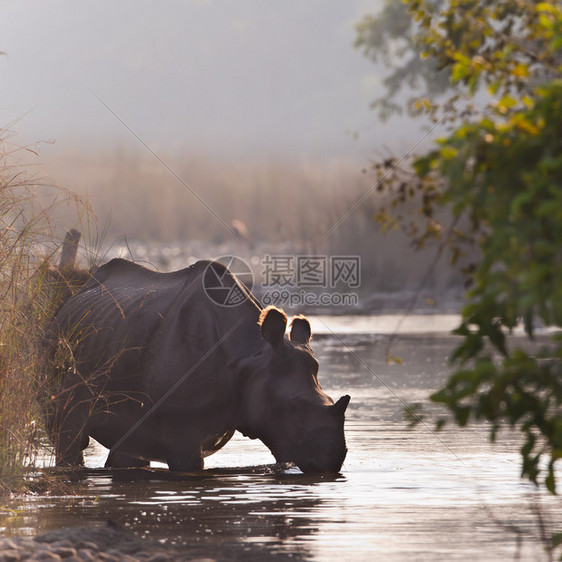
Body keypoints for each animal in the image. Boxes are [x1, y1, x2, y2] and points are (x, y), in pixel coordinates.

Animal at [42, 258, 350, 472]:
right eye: (293, 407)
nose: (333, 459)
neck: (252, 355)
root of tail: (72, 297)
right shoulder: (181, 429)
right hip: (56, 343)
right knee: (68, 432)